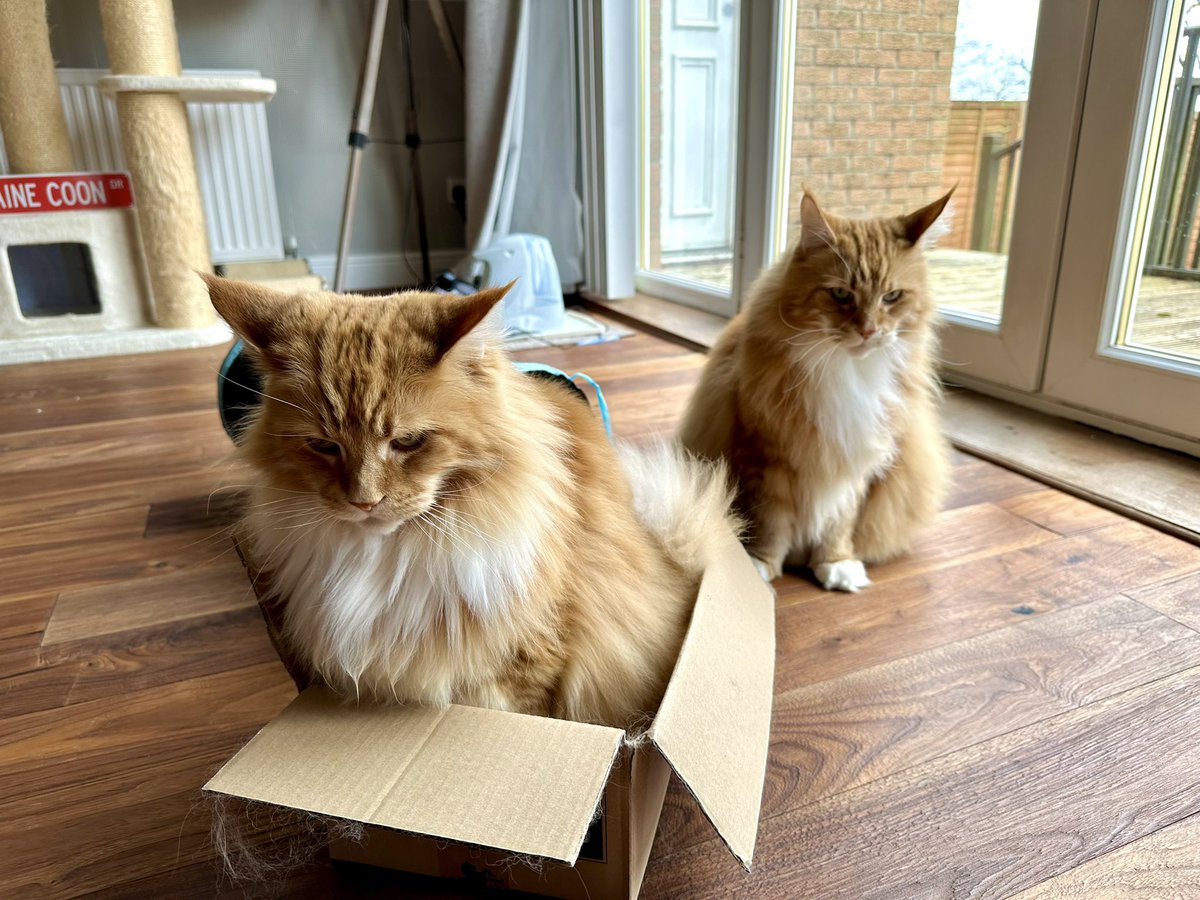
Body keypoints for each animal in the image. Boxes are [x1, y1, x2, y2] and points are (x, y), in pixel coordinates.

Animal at [681, 192, 950, 592]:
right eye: (840, 294)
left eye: (892, 296)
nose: (868, 331)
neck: (845, 369)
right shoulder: (767, 456)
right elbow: (770, 521)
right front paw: (760, 565)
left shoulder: (856, 460)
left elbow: (840, 522)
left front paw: (835, 563)